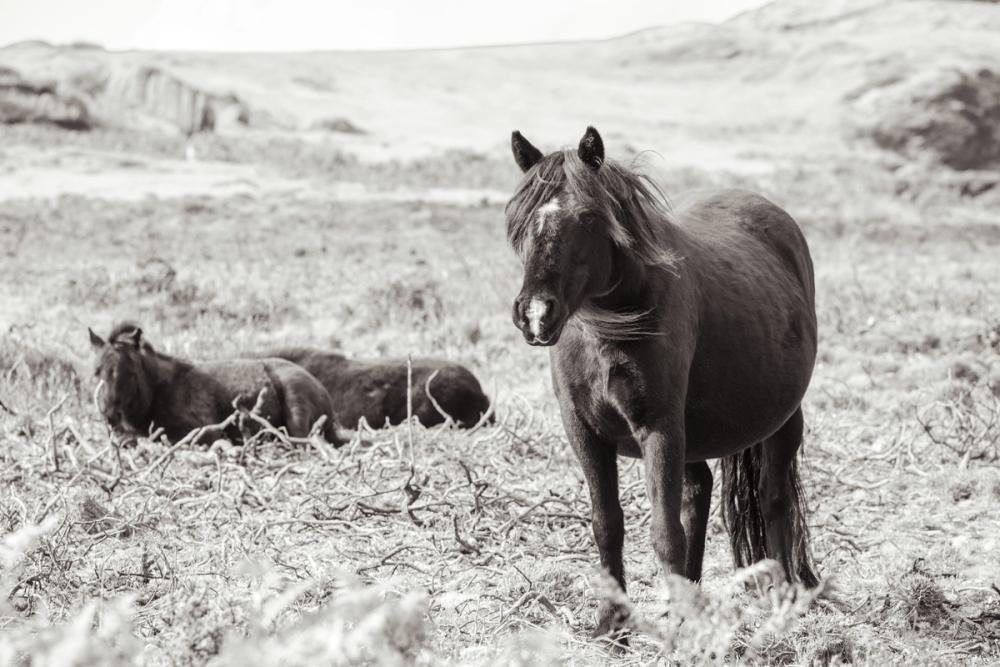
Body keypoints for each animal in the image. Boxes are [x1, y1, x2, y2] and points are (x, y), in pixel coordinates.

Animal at [89, 323, 343, 446]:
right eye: (97, 371)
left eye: (130, 373)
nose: (111, 415)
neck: (159, 390)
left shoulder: (205, 433)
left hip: (296, 413)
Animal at [506, 127, 819, 640]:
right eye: (520, 219)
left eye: (588, 216)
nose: (535, 313)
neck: (610, 330)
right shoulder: (584, 433)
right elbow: (607, 524)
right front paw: (612, 624)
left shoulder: (659, 429)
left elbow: (664, 531)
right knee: (699, 490)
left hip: (783, 421)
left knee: (774, 499)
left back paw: (783, 596)